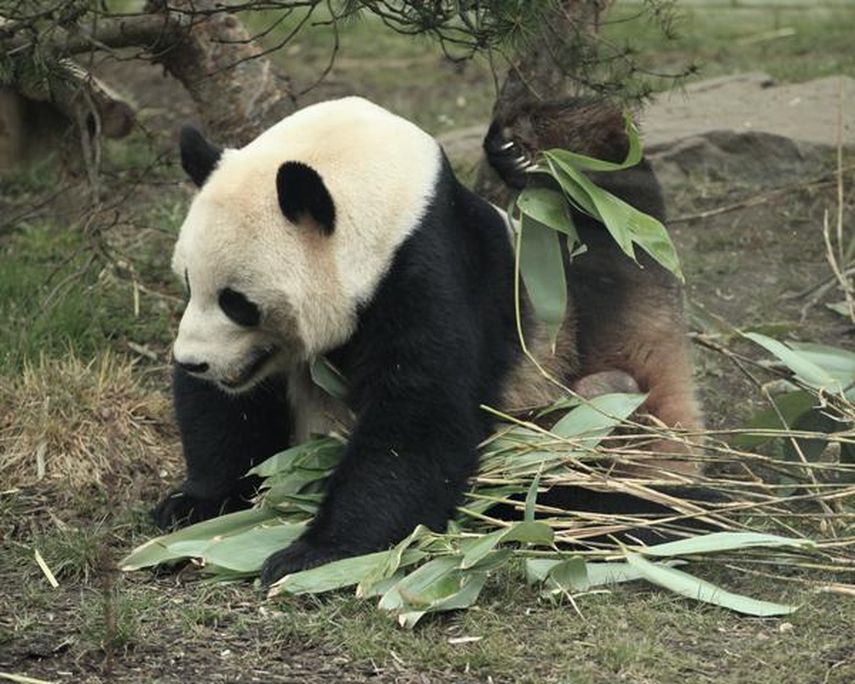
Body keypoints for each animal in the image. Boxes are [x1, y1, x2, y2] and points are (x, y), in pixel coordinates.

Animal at [153, 96, 701, 587]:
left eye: (238, 303)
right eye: (188, 284)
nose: (193, 362)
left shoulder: (428, 268)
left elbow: (420, 415)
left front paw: (314, 554)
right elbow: (230, 414)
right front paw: (193, 503)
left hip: (585, 403)